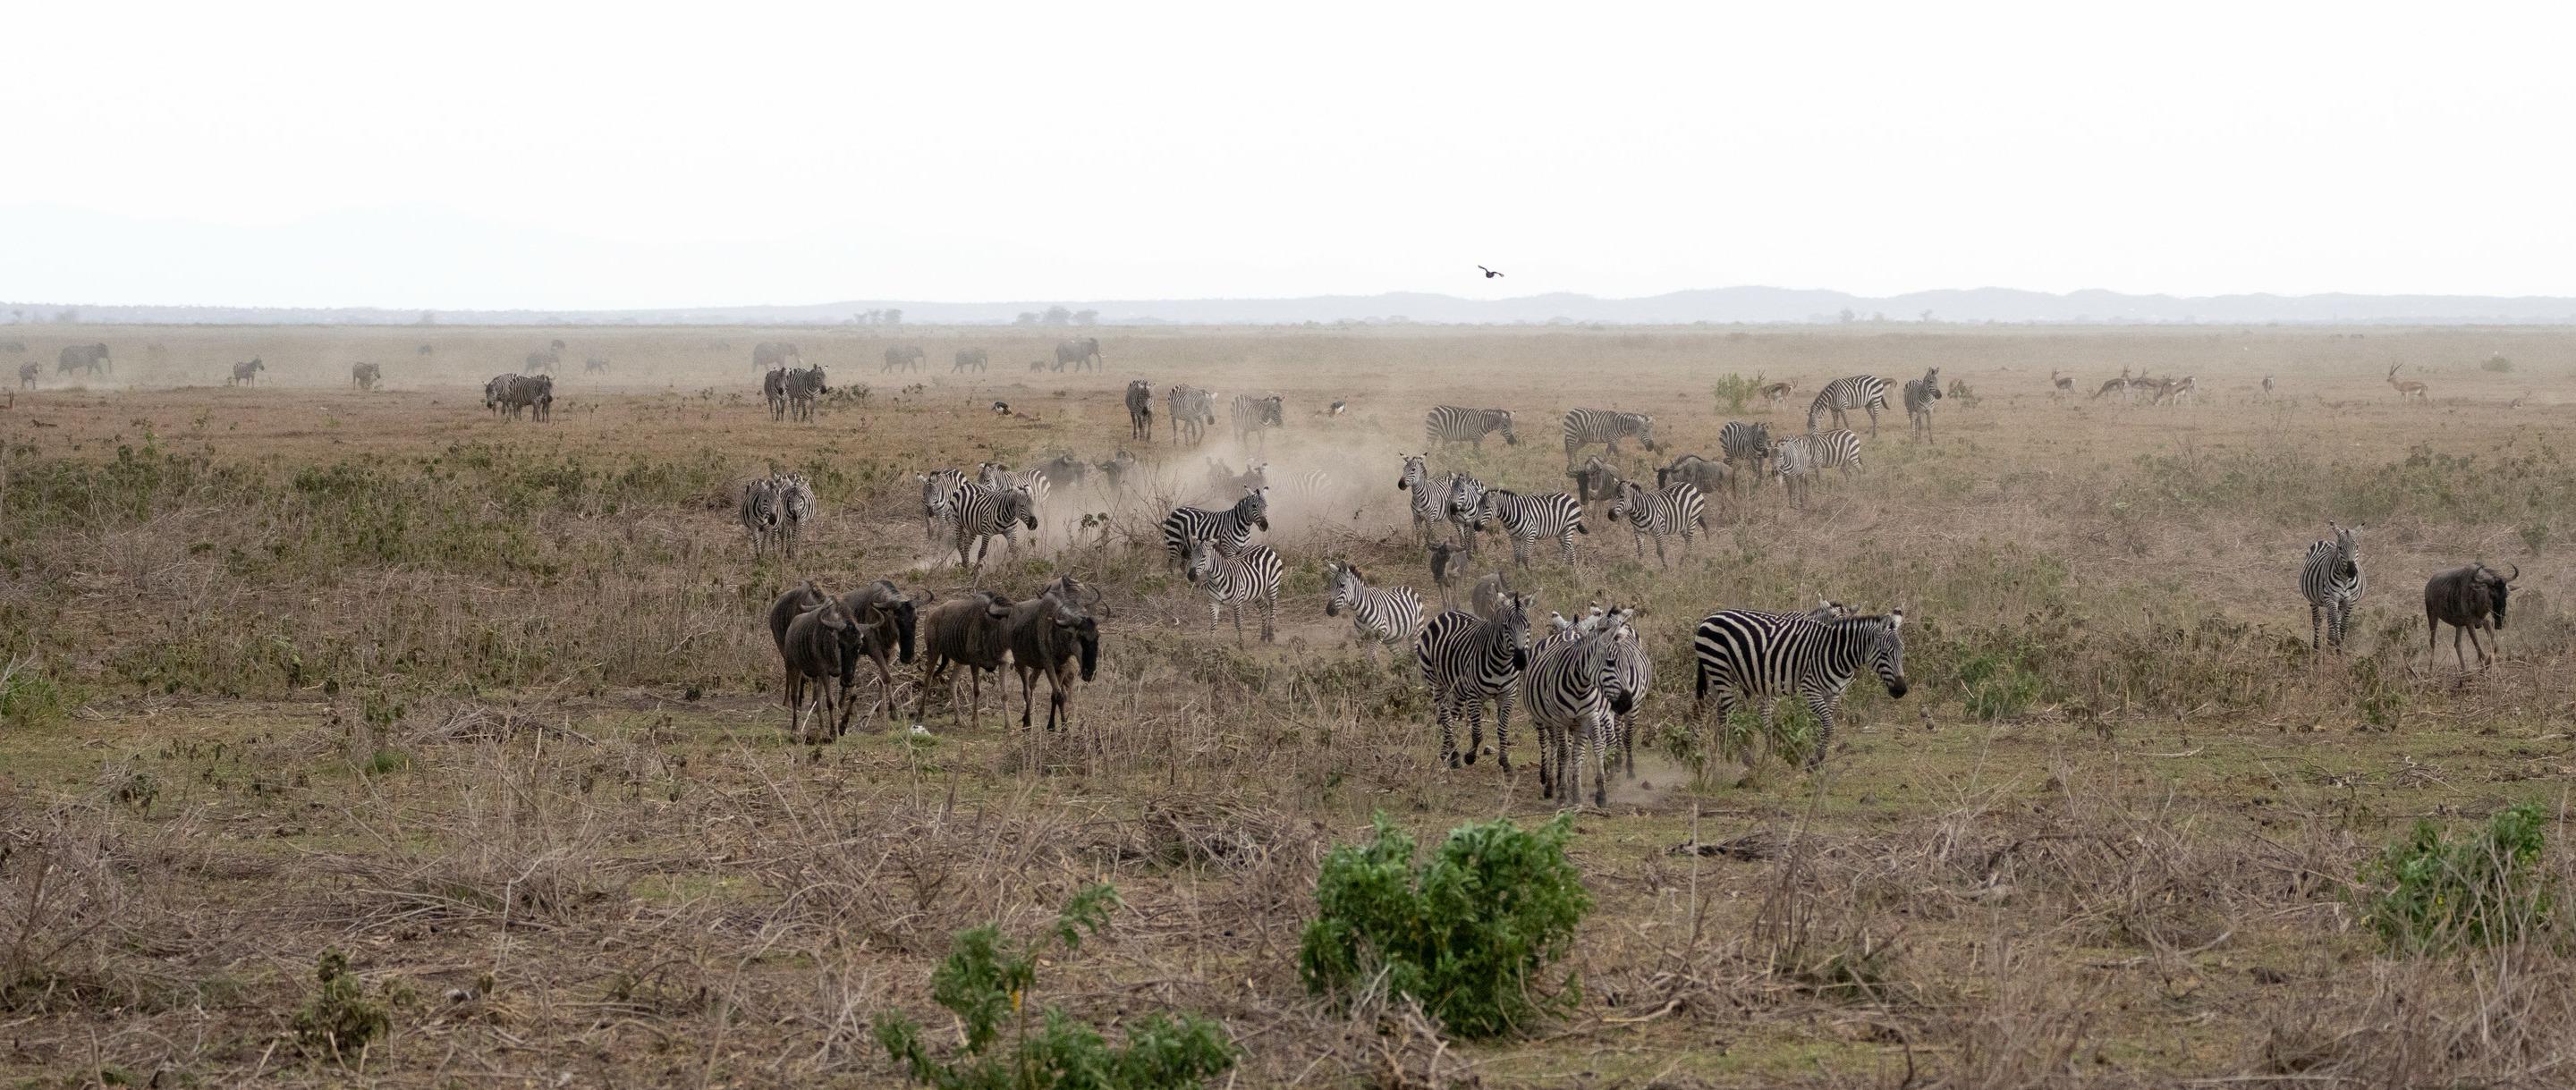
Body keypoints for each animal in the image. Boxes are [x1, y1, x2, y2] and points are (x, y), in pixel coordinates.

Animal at [1411, 592, 1524, 773]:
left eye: (1528, 626)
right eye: (1506, 627)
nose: (1521, 660)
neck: (1502, 663)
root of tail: (1447, 612)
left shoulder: (1508, 695)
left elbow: (1503, 730)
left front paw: (1505, 761)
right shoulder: (1474, 695)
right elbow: (1477, 733)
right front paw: (1470, 757)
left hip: (1459, 689)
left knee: (1451, 716)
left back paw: (1450, 756)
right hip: (1435, 681)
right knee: (1445, 717)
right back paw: (1453, 755)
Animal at [1514, 618, 1638, 808]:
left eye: (1626, 666)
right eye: (1610, 663)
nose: (1627, 703)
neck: (1581, 686)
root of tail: (1567, 633)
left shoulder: (1589, 717)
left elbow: (1592, 749)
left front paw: (1594, 794)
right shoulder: (1560, 720)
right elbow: (1564, 753)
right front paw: (1564, 794)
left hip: (1575, 724)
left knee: (1571, 750)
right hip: (1546, 720)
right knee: (1553, 745)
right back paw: (1551, 785)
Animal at [1690, 610, 1916, 773]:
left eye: (1903, 652)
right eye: (1885, 654)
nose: (1901, 690)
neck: (1837, 653)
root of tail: (1710, 617)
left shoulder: (1834, 693)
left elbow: (1823, 726)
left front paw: (1814, 759)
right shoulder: (1810, 689)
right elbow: (1829, 725)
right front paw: (1816, 759)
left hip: (1717, 676)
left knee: (1703, 709)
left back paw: (1705, 753)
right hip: (1719, 669)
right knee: (1730, 715)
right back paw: (1745, 760)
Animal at [2308, 523, 2360, 652]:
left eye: (2357, 547)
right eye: (2340, 548)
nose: (2352, 571)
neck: (2345, 579)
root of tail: (2326, 541)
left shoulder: (2350, 600)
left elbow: (2344, 623)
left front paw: (2339, 646)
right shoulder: (2331, 598)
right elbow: (2335, 621)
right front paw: (2337, 642)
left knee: (2330, 619)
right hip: (2314, 600)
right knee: (2317, 620)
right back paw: (2317, 646)